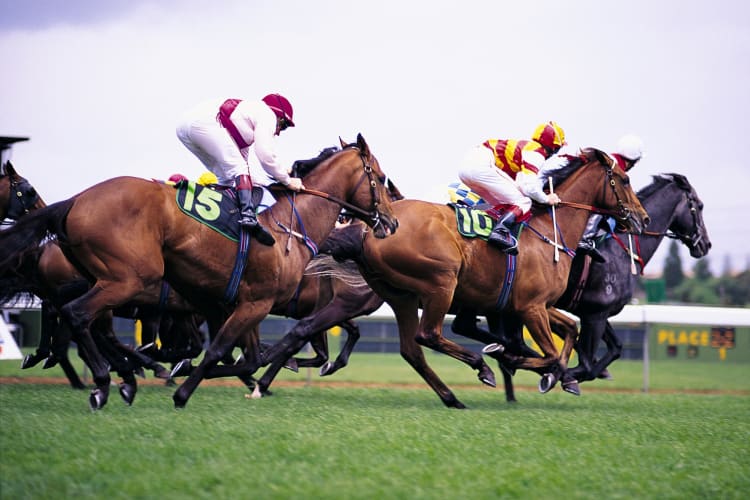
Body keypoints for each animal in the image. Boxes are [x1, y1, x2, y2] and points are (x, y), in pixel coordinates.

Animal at [0, 134, 400, 410]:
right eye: (380, 178)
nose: (392, 222)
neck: (289, 226)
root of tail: (74, 201)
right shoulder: (253, 304)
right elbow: (222, 351)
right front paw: (183, 389)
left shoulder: (228, 305)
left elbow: (245, 356)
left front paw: (193, 373)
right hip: (128, 278)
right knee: (77, 316)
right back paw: (103, 381)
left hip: (104, 280)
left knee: (84, 325)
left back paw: (119, 376)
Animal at [262, 146, 648, 408]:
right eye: (625, 179)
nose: (642, 218)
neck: (550, 234)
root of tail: (373, 230)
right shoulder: (531, 307)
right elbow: (551, 352)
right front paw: (524, 364)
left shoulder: (535, 305)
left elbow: (569, 331)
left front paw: (556, 375)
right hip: (441, 282)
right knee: (427, 335)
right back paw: (481, 367)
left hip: (399, 295)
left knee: (408, 348)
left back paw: (453, 396)